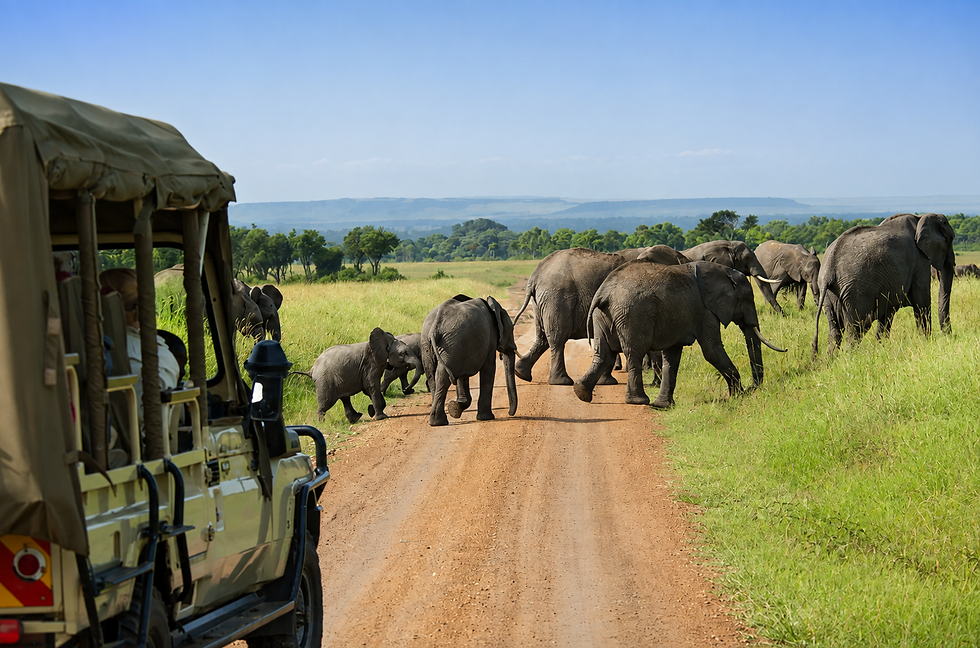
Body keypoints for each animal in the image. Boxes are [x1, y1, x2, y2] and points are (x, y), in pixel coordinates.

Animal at [421, 294, 518, 427]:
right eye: (511, 330)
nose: (509, 413)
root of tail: (434, 327)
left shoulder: (464, 347)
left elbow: (463, 377)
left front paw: (455, 408)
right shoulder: (490, 338)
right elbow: (489, 369)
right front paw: (486, 418)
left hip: (432, 344)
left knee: (432, 376)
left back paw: (437, 421)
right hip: (450, 344)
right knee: (443, 377)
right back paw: (439, 421)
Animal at [513, 248, 628, 385]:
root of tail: (535, 275)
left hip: (541, 302)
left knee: (542, 337)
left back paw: (520, 373)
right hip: (557, 298)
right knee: (557, 338)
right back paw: (562, 381)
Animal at [573, 261, 786, 409]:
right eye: (747, 299)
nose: (753, 388)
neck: (723, 271)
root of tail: (604, 292)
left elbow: (672, 356)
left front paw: (663, 406)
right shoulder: (705, 311)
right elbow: (712, 350)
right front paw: (738, 395)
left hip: (602, 315)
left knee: (604, 354)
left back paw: (581, 392)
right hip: (632, 314)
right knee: (634, 353)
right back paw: (638, 401)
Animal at [813, 212, 955, 355]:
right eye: (951, 239)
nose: (947, 335)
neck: (920, 217)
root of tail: (829, 269)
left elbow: (887, 315)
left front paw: (881, 348)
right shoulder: (919, 260)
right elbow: (922, 302)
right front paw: (925, 342)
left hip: (830, 296)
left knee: (835, 333)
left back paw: (832, 358)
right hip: (854, 293)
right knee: (856, 330)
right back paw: (852, 356)